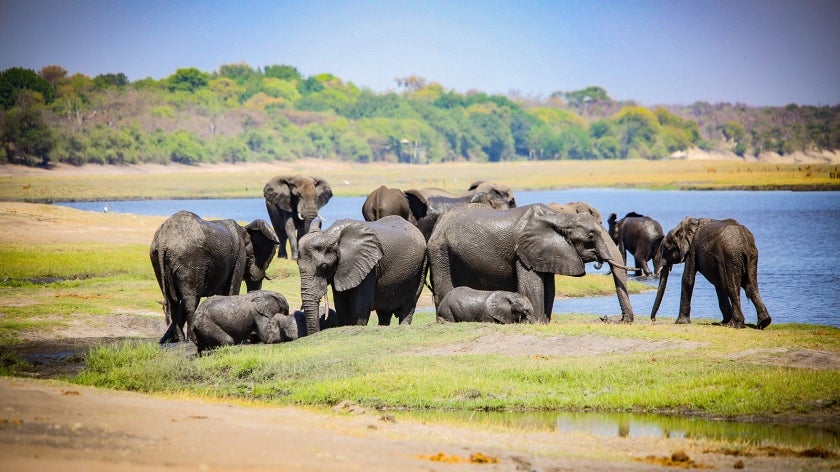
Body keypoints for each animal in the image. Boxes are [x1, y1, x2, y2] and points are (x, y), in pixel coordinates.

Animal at [150, 210, 279, 344]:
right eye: (251, 259)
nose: (253, 338)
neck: (245, 230)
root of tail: (163, 241)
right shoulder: (239, 256)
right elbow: (232, 289)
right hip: (188, 260)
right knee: (191, 300)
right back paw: (191, 339)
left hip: (158, 260)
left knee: (173, 301)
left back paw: (180, 340)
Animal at [297, 215, 427, 335]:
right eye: (297, 264)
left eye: (324, 267)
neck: (330, 235)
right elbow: (341, 306)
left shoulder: (368, 267)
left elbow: (361, 306)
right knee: (384, 313)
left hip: (420, 268)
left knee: (409, 305)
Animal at [427, 203, 635, 323]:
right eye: (591, 236)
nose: (612, 319)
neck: (559, 217)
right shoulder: (522, 251)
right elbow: (533, 287)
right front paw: (536, 323)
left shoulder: (546, 252)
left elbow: (549, 288)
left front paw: (544, 322)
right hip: (440, 251)